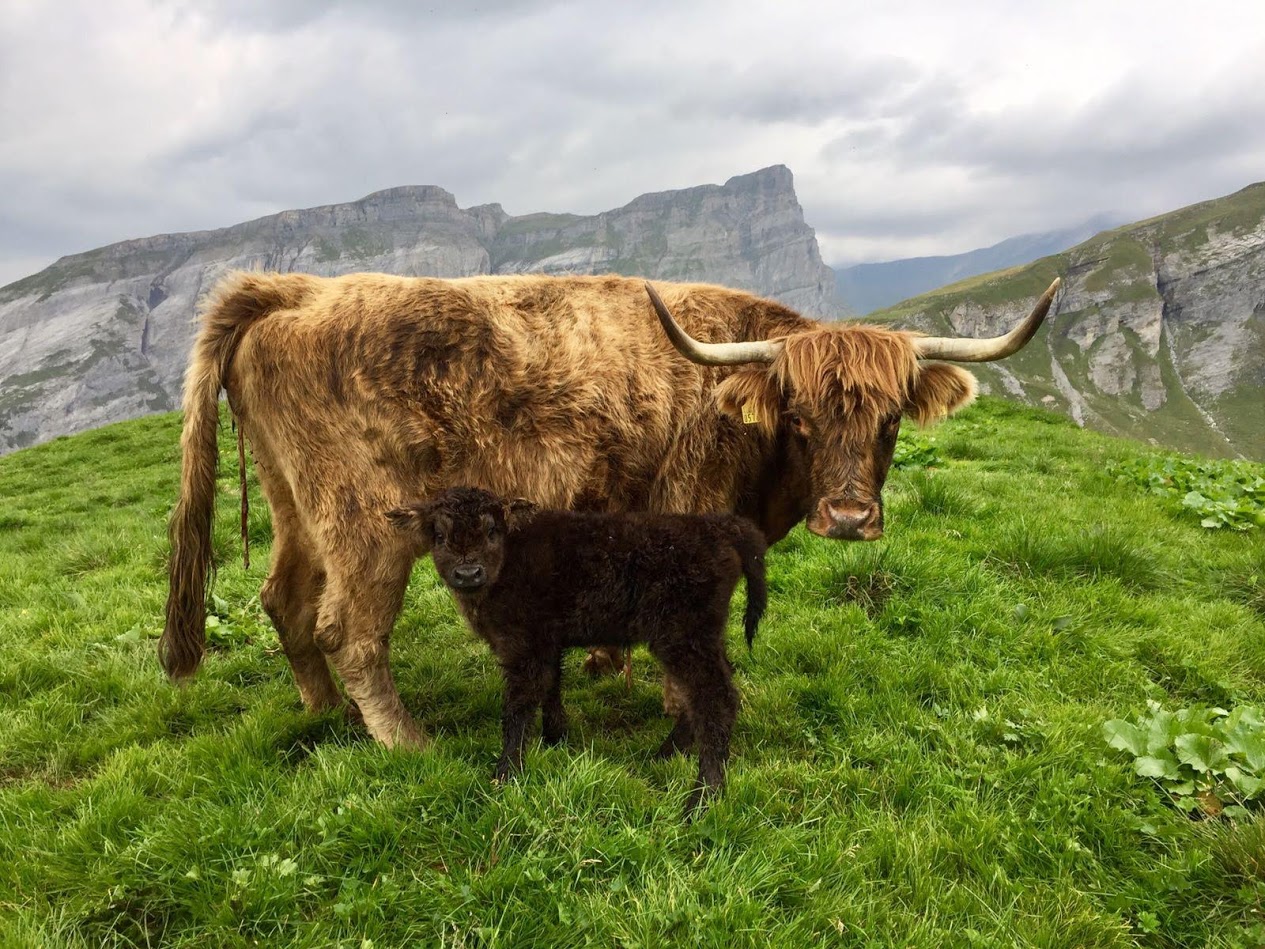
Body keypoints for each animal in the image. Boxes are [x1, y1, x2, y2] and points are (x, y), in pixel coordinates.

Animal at [384, 490, 764, 819]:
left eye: (492, 531)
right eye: (439, 536)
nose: (467, 573)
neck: (508, 561)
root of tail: (719, 526)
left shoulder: (523, 645)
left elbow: (517, 707)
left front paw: (506, 774)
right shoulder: (546, 642)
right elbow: (551, 686)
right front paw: (556, 740)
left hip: (683, 636)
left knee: (716, 698)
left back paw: (703, 797)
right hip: (703, 637)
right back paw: (664, 755)